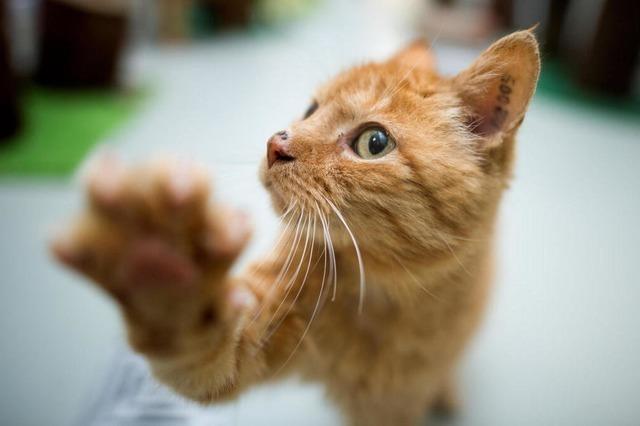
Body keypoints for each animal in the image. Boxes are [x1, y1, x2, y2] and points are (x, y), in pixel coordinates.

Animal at [52, 30, 540, 426]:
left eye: (374, 142)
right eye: (311, 108)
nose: (275, 144)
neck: (384, 300)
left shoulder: (396, 404)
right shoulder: (255, 331)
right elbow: (204, 349)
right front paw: (164, 265)